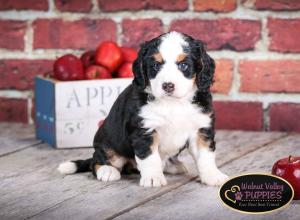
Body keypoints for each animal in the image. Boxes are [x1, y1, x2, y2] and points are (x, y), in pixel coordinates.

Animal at [58, 31, 227, 187]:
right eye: (156, 65)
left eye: (183, 65)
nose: (168, 85)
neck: (173, 103)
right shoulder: (144, 131)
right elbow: (150, 157)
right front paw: (153, 178)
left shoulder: (201, 128)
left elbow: (205, 156)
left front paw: (213, 176)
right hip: (107, 144)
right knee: (96, 161)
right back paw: (107, 171)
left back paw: (173, 165)